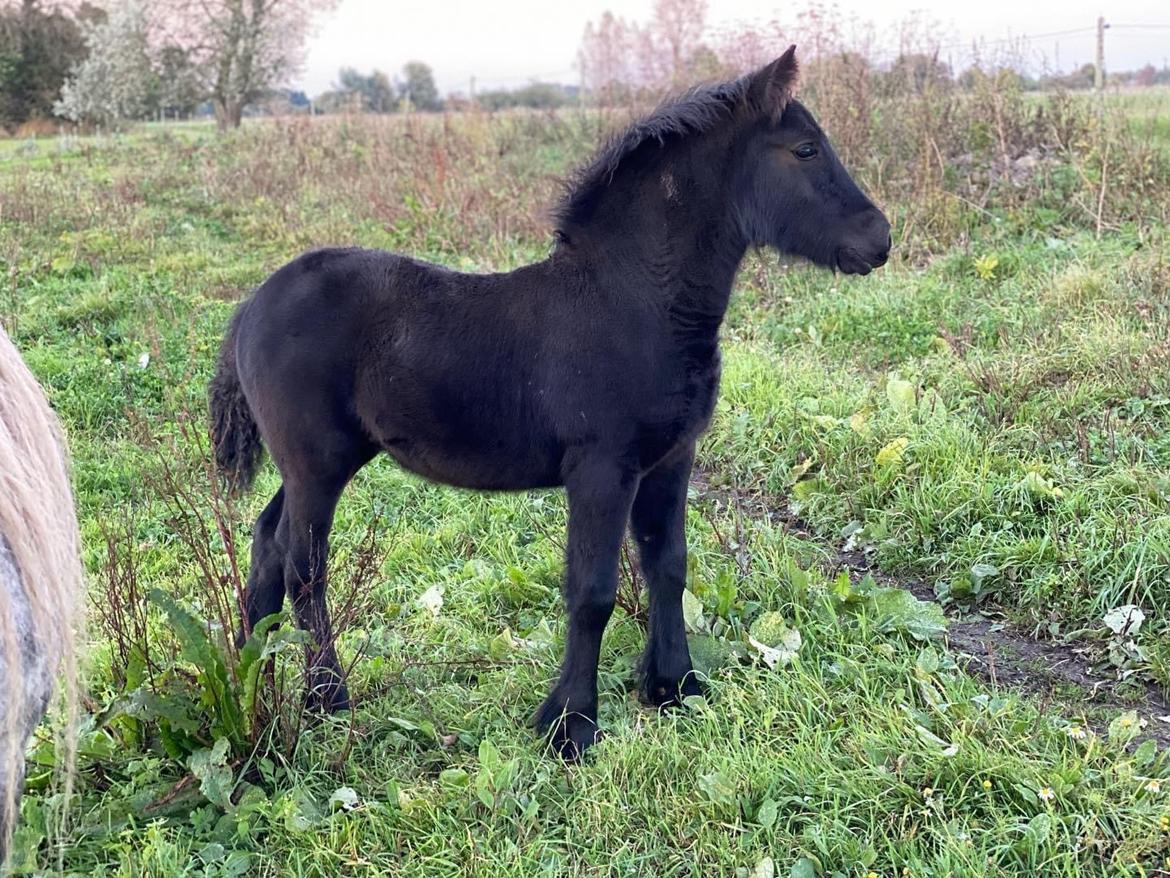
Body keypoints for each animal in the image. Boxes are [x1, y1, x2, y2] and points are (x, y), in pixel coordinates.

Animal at [209, 47, 891, 759]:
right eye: (806, 149)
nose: (879, 239)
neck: (638, 304)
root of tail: (253, 304)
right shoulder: (601, 468)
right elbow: (592, 591)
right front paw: (571, 725)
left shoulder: (671, 460)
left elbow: (669, 566)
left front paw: (675, 688)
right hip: (317, 463)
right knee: (303, 567)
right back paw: (326, 699)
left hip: (315, 463)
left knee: (267, 543)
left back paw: (250, 673)